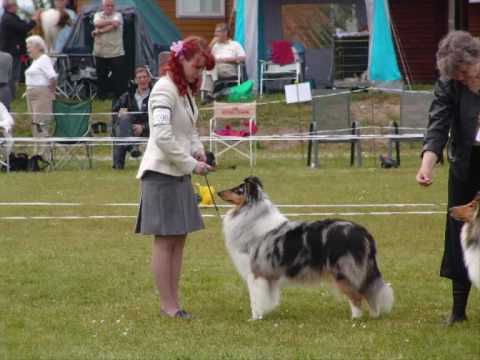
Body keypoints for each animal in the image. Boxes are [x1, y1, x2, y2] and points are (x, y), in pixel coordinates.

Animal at [218, 177, 394, 320]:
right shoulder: (268, 275)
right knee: (370, 293)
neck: (251, 216)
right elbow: (268, 297)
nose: (219, 192)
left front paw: (255, 318)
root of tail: (363, 232)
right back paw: (373, 316)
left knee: (357, 296)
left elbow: (255, 299)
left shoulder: (255, 273)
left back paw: (355, 319)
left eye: (238, 190)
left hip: (344, 271)